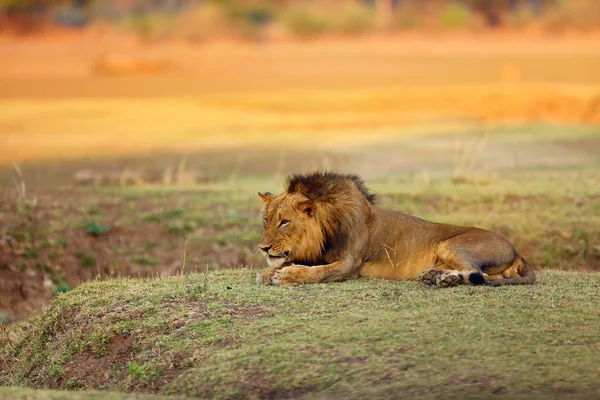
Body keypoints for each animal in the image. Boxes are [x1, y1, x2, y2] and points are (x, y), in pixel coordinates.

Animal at [255, 172, 536, 288]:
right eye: (265, 220)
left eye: (284, 222)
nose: (263, 248)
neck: (326, 228)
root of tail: (518, 252)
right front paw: (269, 272)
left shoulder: (350, 264)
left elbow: (318, 273)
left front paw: (286, 276)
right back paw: (435, 276)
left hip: (450, 245)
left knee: (480, 274)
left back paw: (444, 279)